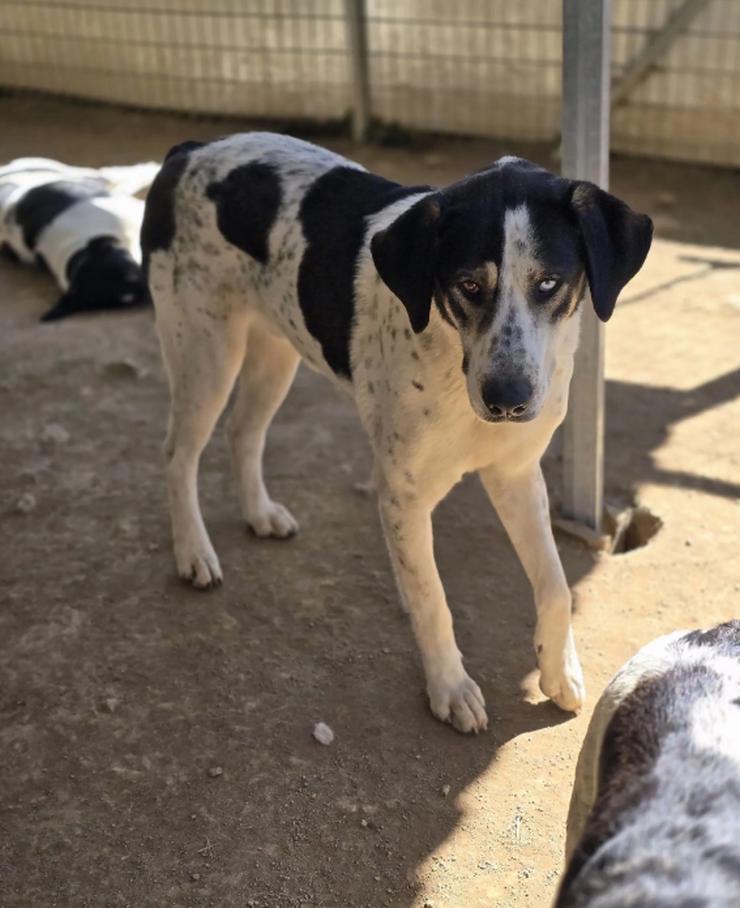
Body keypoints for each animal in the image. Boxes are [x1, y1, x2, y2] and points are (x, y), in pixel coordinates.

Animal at [142, 133, 652, 732]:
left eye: (549, 283)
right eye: (468, 285)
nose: (508, 400)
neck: (451, 359)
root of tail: (193, 149)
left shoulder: (515, 472)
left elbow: (554, 583)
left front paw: (557, 672)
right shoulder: (406, 494)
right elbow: (433, 597)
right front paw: (450, 686)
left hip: (274, 353)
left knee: (243, 433)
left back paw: (260, 514)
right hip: (206, 355)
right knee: (179, 455)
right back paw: (193, 552)